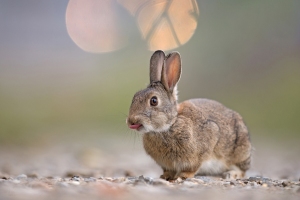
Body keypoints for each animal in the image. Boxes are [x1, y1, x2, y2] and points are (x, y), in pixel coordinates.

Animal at [126, 50, 251, 181]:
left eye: (154, 101)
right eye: (135, 97)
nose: (131, 121)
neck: (171, 124)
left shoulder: (201, 150)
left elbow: (193, 167)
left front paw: (183, 176)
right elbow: (168, 171)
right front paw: (165, 176)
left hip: (239, 152)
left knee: (242, 170)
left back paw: (231, 174)